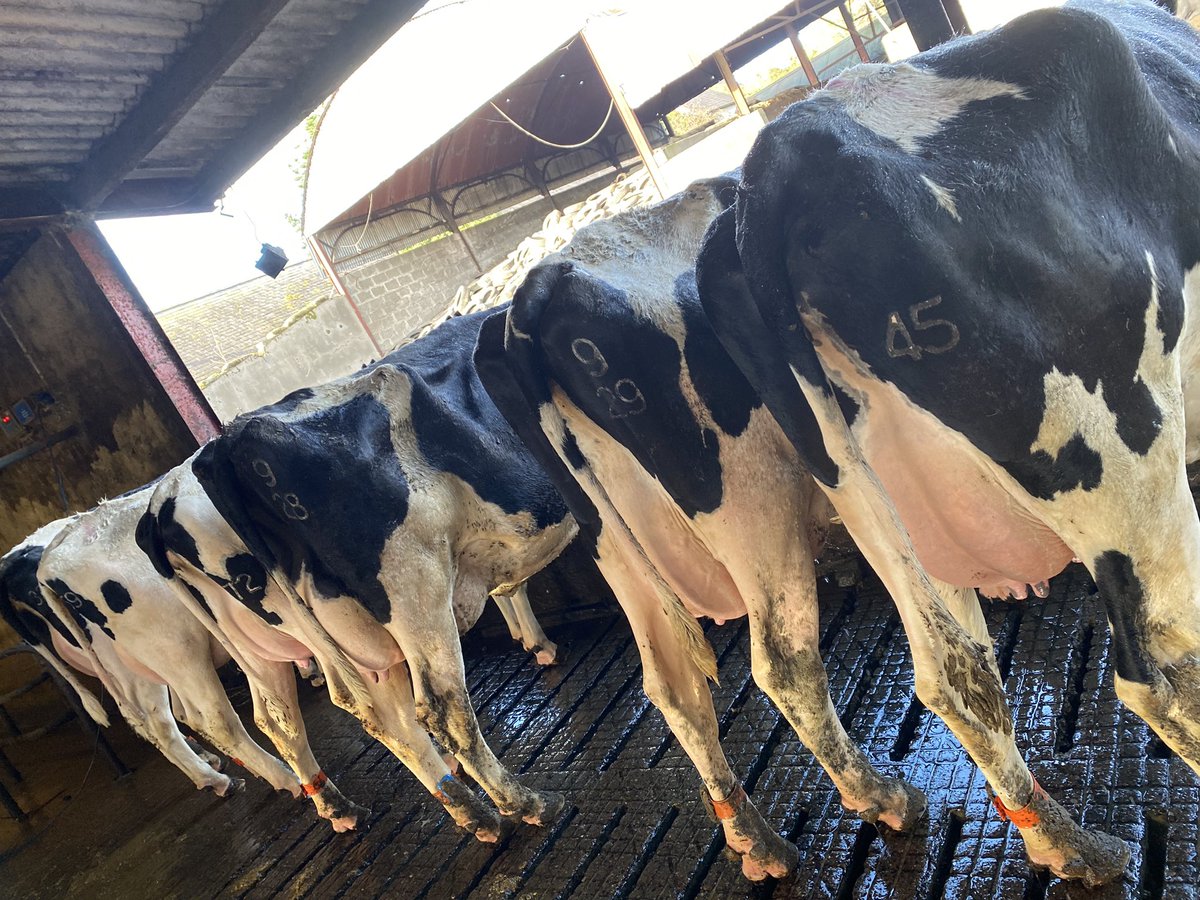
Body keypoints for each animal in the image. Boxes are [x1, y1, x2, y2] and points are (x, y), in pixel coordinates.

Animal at [0, 497, 297, 800]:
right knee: (211, 718)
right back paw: (284, 778)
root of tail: (49, 563)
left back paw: (215, 778)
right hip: (178, 646)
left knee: (159, 720)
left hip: (134, 663)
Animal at [137, 308, 577, 842]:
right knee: (441, 708)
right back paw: (525, 803)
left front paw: (535, 640)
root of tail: (223, 446)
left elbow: (511, 584)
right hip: (414, 586)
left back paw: (389, 807)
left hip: (280, 641)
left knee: (299, 718)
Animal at [474, 177, 927, 881]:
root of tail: (542, 282)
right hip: (753, 503)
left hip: (610, 540)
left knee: (671, 686)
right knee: (784, 662)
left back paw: (755, 837)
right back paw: (882, 798)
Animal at [690, 0, 1200, 885]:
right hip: (1126, 464)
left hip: (849, 486)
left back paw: (1052, 839)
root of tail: (782, 152)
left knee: (934, 670)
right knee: (1159, 661)